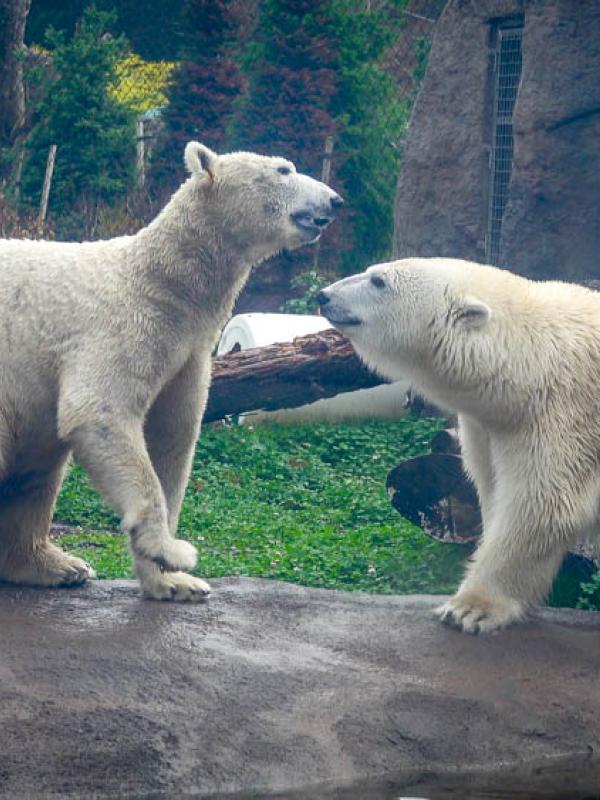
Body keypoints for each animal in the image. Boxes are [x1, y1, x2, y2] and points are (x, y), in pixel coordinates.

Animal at [0, 141, 342, 601]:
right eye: (283, 170)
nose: (335, 200)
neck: (160, 282)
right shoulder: (119, 326)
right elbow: (100, 412)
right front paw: (174, 551)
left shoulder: (187, 351)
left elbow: (172, 438)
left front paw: (174, 580)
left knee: (37, 472)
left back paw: (56, 564)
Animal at [318, 257, 600, 633]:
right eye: (370, 271)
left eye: (379, 281)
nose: (323, 295)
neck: (532, 363)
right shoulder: (489, 429)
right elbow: (492, 489)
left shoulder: (566, 418)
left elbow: (543, 506)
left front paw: (469, 608)